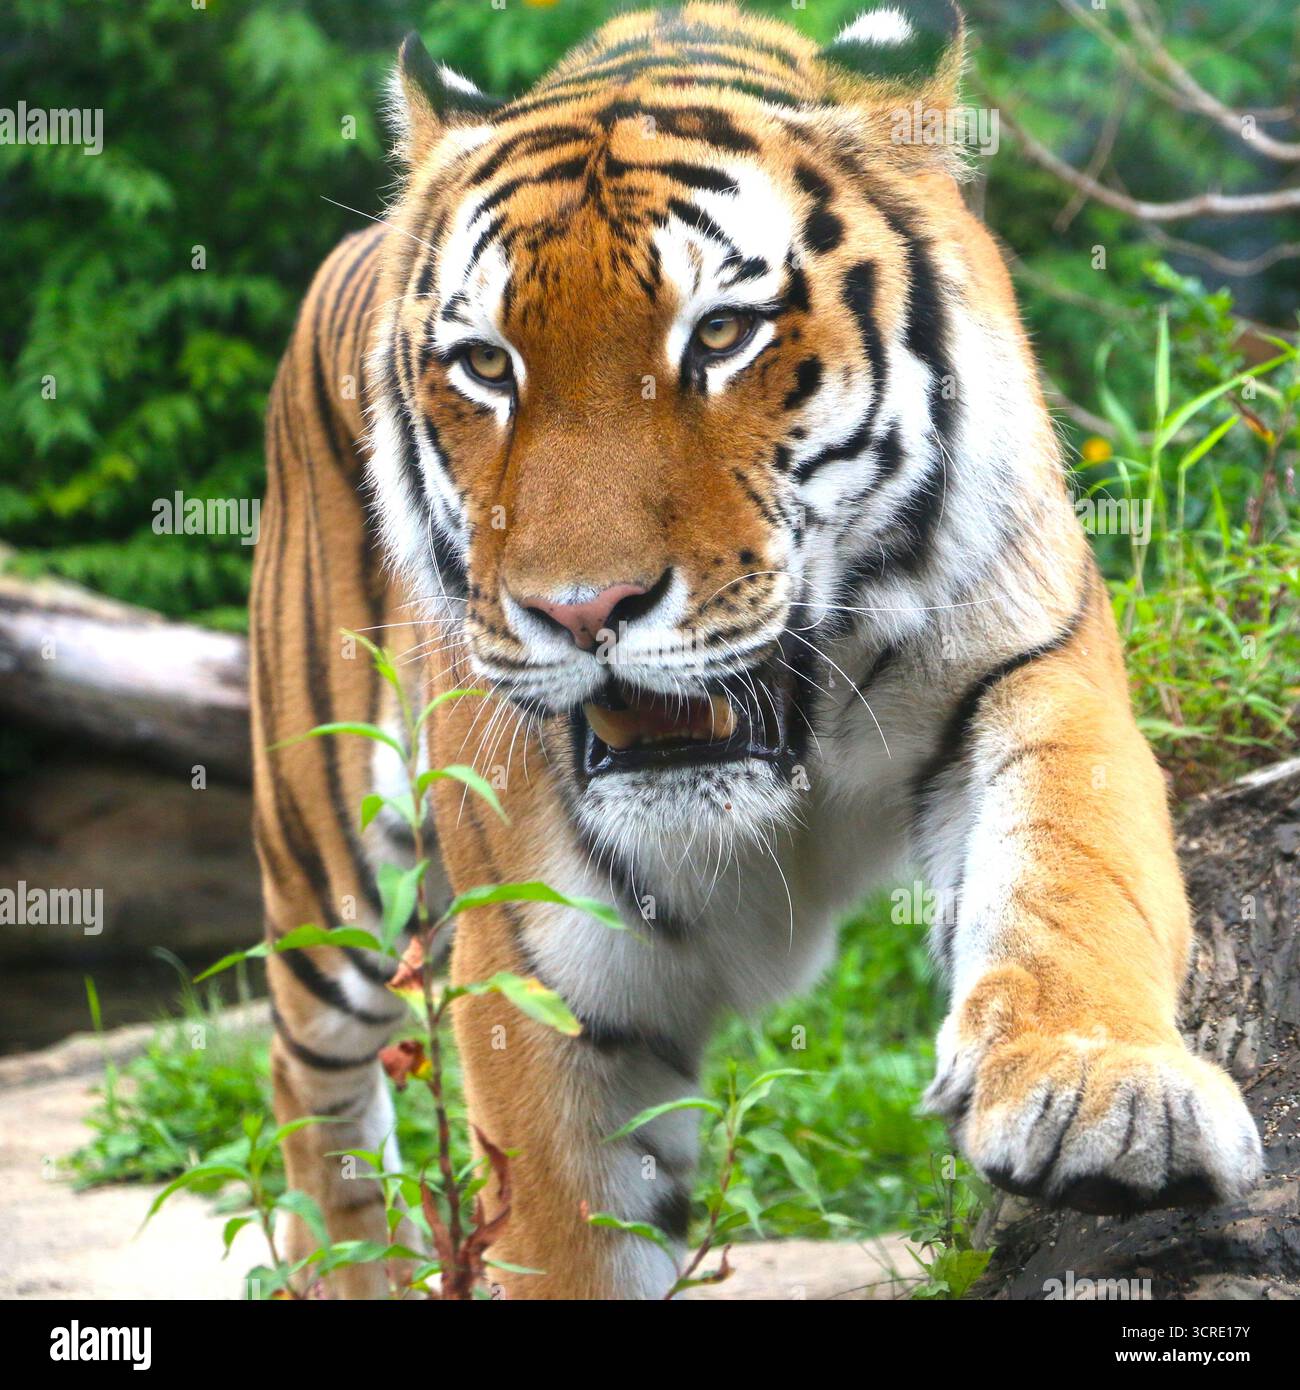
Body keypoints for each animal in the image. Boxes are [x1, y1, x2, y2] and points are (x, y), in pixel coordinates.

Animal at [250, 0, 1264, 1299]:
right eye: (485, 364)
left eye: (721, 334)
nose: (581, 609)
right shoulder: (536, 973)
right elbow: (561, 1236)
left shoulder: (1032, 666)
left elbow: (1075, 864)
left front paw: (1104, 1094)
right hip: (330, 860)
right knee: (309, 1081)